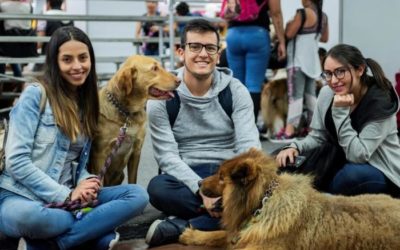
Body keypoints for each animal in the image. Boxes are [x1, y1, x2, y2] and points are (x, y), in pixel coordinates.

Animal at [90, 55, 180, 187]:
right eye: (154, 68)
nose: (179, 80)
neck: (127, 113)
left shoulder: (136, 151)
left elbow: (133, 180)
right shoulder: (100, 155)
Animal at [180, 149, 400, 249]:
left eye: (220, 177)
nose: (198, 183)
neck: (262, 202)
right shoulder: (244, 234)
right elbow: (220, 234)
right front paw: (193, 235)